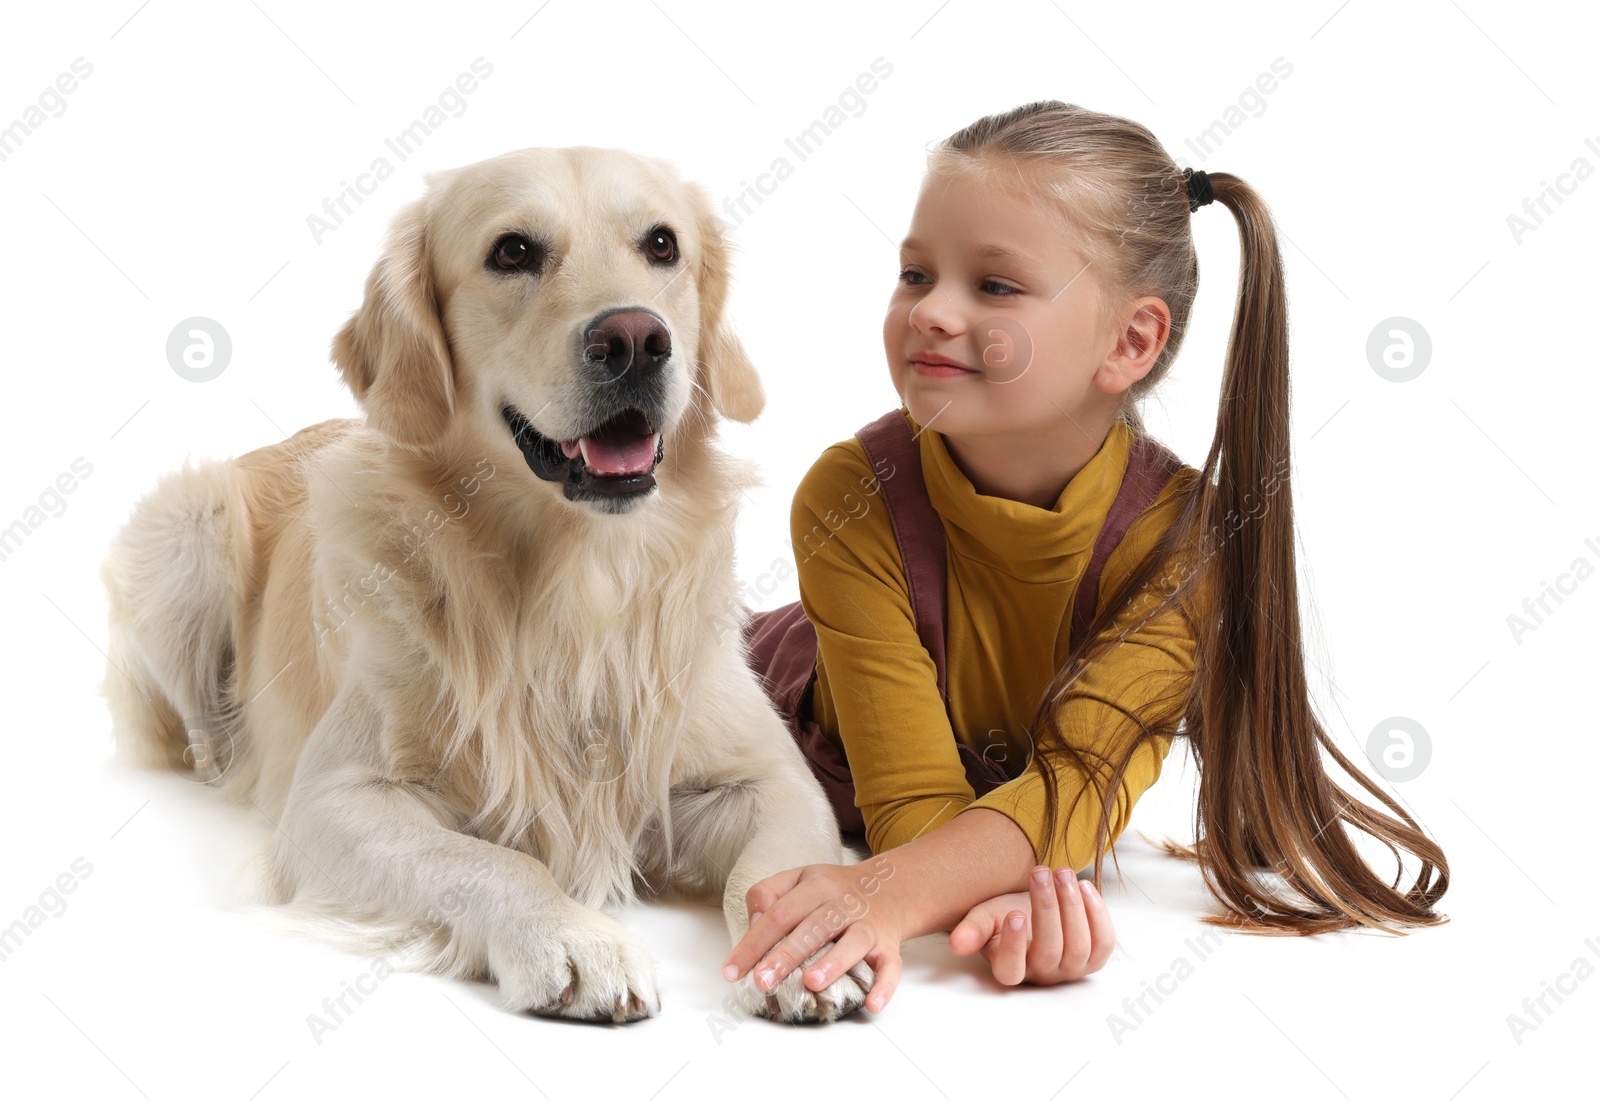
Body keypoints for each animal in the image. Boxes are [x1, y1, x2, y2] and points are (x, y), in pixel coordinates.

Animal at [96, 146, 876, 1024]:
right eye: (513, 252)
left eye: (662, 244)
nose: (636, 338)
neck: (581, 576)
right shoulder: (337, 799)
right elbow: (494, 861)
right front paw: (573, 939)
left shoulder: (772, 777)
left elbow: (782, 863)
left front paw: (804, 943)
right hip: (188, 522)